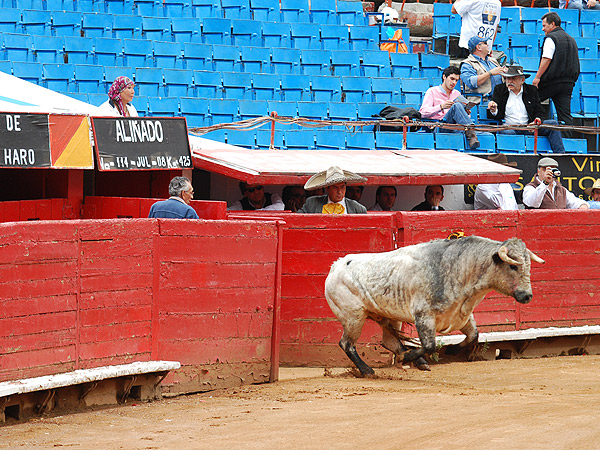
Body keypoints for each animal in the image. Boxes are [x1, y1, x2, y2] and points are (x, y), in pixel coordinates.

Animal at [326, 236, 548, 376]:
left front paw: (451, 351)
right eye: (512, 266)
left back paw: (415, 361)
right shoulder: (423, 316)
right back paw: (368, 370)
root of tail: (335, 266)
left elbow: (474, 336)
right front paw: (414, 355)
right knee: (347, 343)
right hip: (354, 316)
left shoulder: (463, 315)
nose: (527, 296)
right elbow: (429, 345)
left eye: (528, 266)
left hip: (388, 316)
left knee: (388, 341)